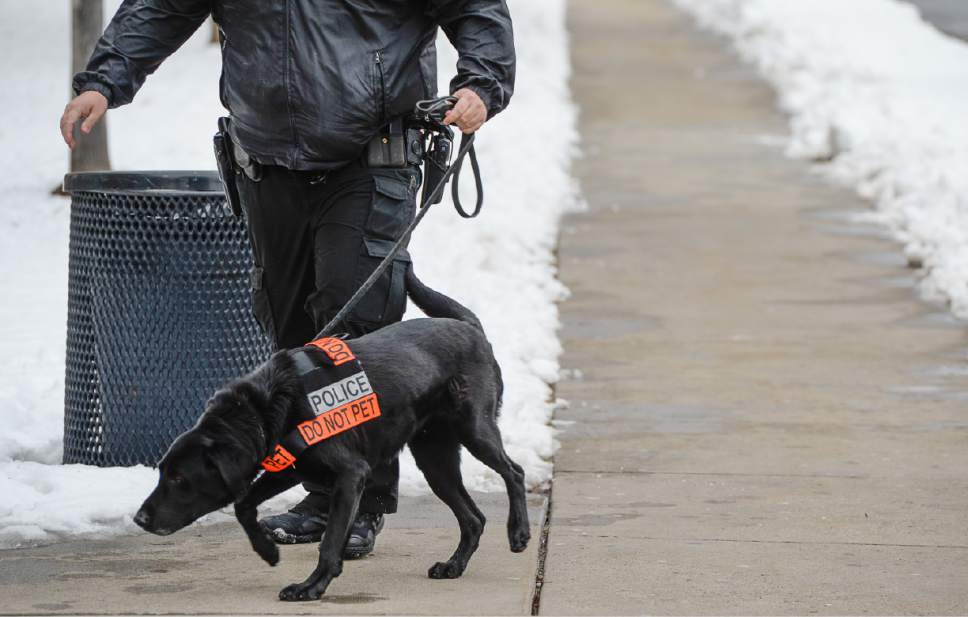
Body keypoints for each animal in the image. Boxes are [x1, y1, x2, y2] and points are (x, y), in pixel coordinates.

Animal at [134, 268, 528, 596]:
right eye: (161, 473)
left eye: (180, 479)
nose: (140, 518)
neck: (267, 408)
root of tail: (470, 328)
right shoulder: (290, 467)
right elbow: (244, 505)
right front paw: (268, 549)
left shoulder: (351, 475)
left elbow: (330, 541)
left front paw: (312, 586)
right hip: (435, 462)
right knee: (474, 519)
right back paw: (454, 565)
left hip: (475, 430)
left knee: (515, 472)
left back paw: (519, 531)